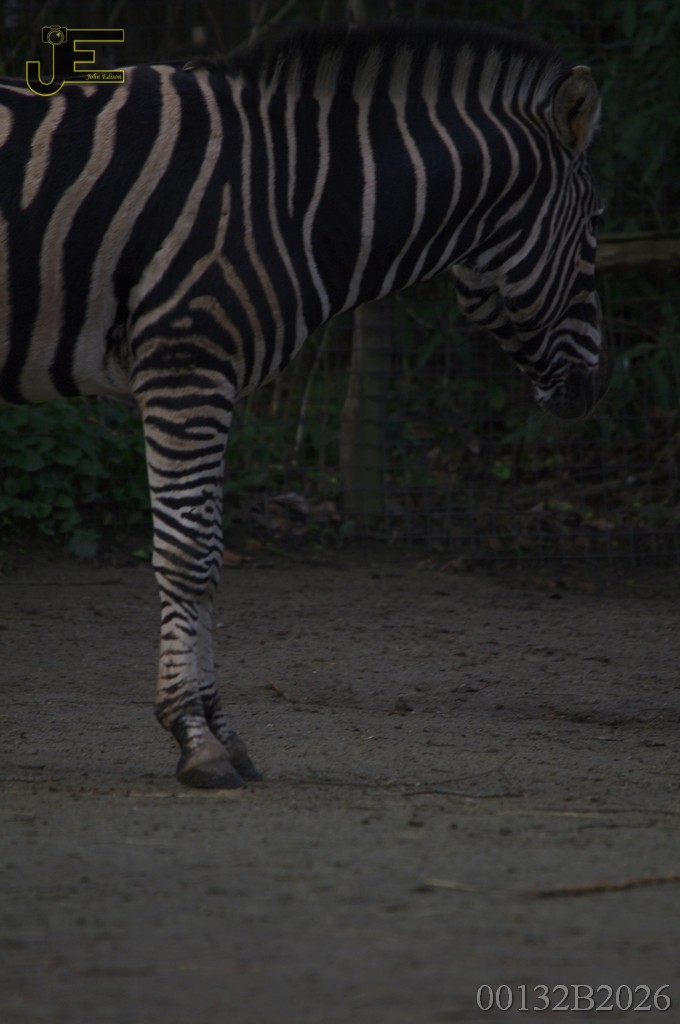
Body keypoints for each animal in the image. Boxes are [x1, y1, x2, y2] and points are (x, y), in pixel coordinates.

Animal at [0, 20, 607, 788]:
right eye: (595, 228)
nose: (595, 389)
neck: (296, 192)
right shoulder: (185, 362)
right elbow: (188, 554)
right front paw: (194, 738)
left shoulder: (208, 377)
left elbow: (213, 553)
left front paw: (221, 732)